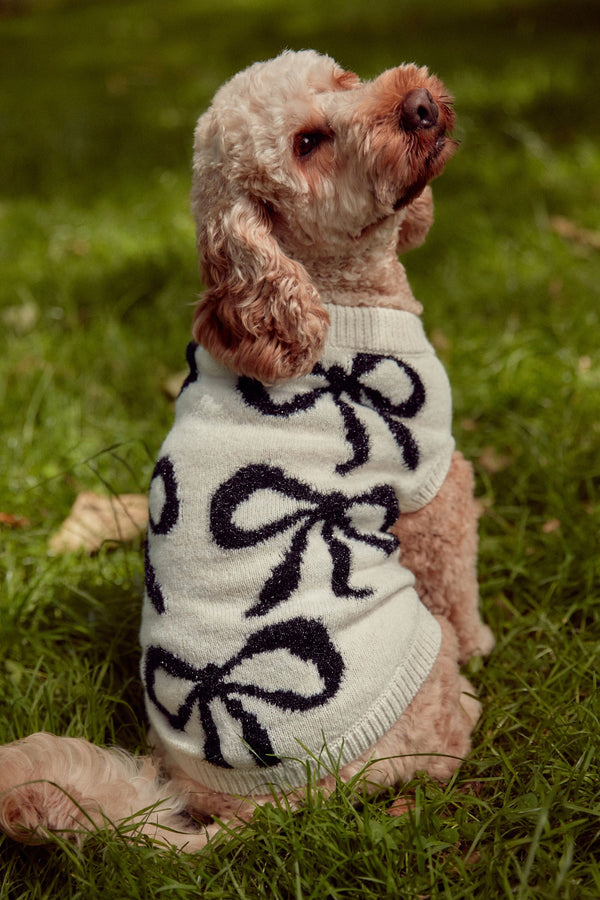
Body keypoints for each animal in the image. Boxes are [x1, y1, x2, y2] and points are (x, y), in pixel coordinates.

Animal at [0, 47, 492, 852]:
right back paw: (470, 701)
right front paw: (485, 642)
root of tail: (255, 811)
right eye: (307, 144)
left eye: (343, 79)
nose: (420, 104)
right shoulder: (436, 483)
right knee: (439, 741)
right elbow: (460, 583)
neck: (326, 292)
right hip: (419, 658)